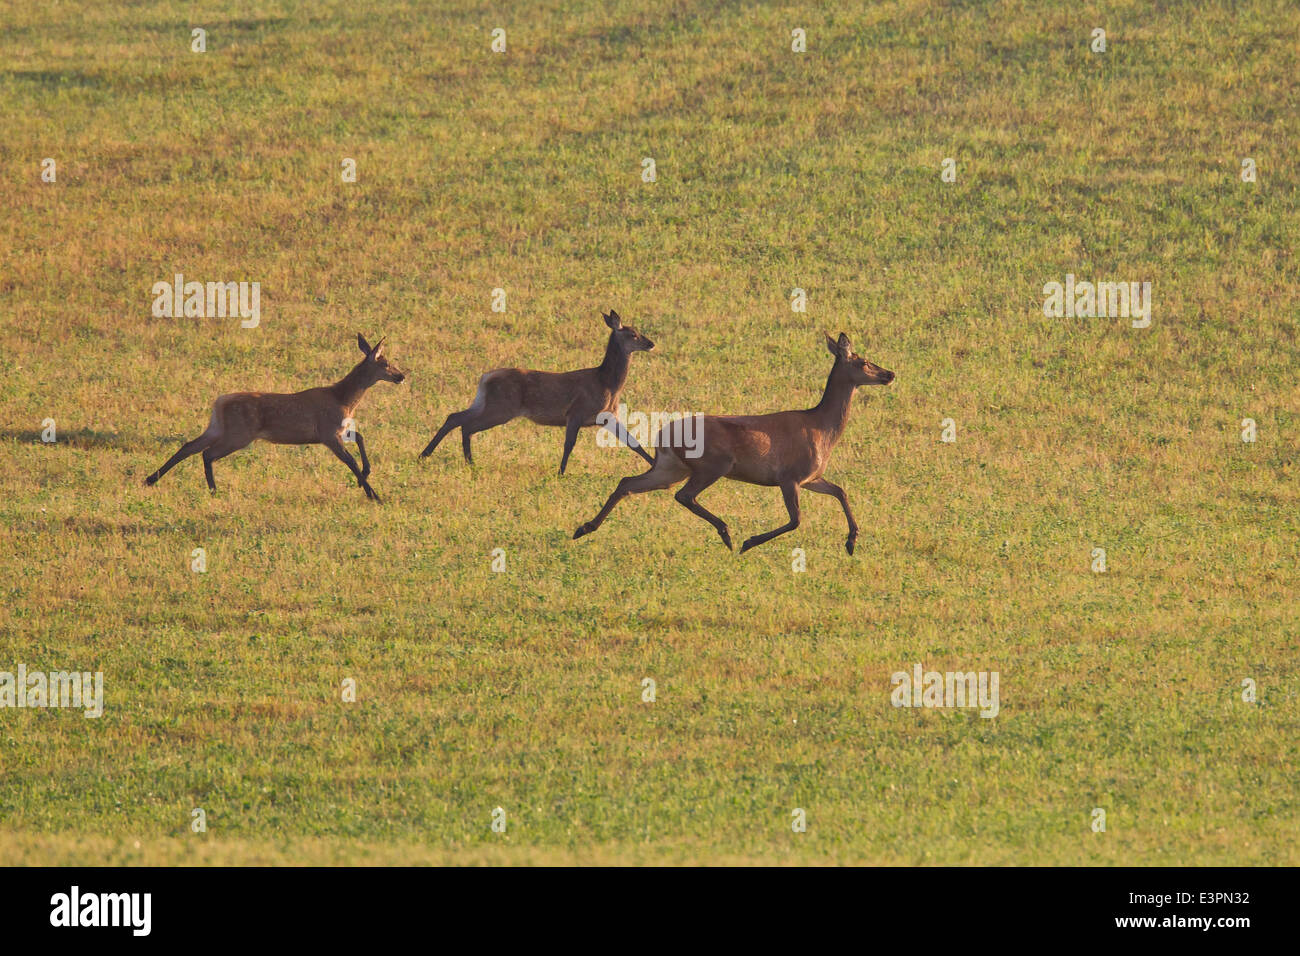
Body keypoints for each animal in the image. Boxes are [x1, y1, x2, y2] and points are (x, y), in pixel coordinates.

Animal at [143, 332, 408, 502]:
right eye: (385, 363)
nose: (401, 376)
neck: (342, 399)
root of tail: (219, 402)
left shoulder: (337, 430)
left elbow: (361, 437)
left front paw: (366, 477)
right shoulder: (327, 432)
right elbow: (350, 460)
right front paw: (374, 494)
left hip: (218, 427)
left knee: (189, 446)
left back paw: (151, 479)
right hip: (240, 433)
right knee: (206, 453)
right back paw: (213, 490)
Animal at [418, 310, 655, 476]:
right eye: (633, 335)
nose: (651, 343)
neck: (606, 383)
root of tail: (485, 377)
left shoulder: (608, 416)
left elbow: (633, 442)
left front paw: (654, 465)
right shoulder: (576, 412)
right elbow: (569, 445)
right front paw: (561, 473)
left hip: (485, 403)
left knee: (455, 417)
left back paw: (428, 455)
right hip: (501, 408)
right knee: (466, 425)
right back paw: (464, 461)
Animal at [577, 335, 894, 556]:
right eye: (863, 361)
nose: (889, 374)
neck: (822, 429)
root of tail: (662, 435)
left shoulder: (811, 477)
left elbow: (840, 491)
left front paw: (851, 542)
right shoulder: (788, 476)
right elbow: (796, 519)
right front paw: (749, 542)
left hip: (670, 467)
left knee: (628, 482)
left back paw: (584, 527)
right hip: (713, 464)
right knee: (684, 495)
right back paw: (727, 534)